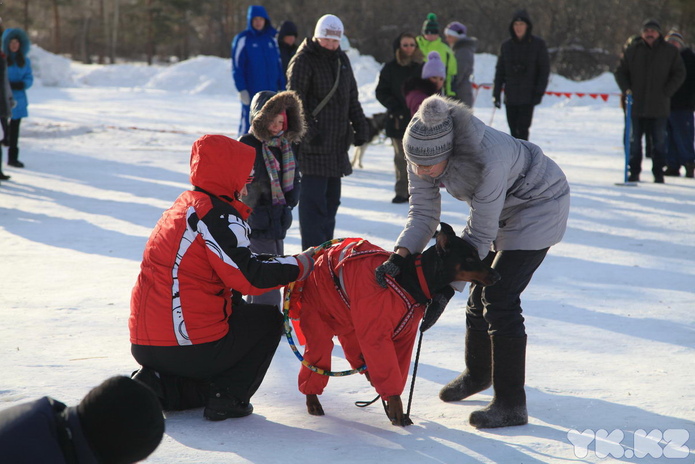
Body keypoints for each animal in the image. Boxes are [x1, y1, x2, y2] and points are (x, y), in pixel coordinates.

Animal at [294, 223, 500, 426]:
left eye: (477, 254)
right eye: (469, 258)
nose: (497, 276)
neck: (413, 280)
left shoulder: (403, 336)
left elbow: (397, 372)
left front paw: (392, 404)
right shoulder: (376, 334)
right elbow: (388, 371)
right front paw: (396, 409)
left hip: (348, 318)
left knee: (352, 348)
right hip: (321, 319)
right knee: (318, 355)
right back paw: (313, 401)